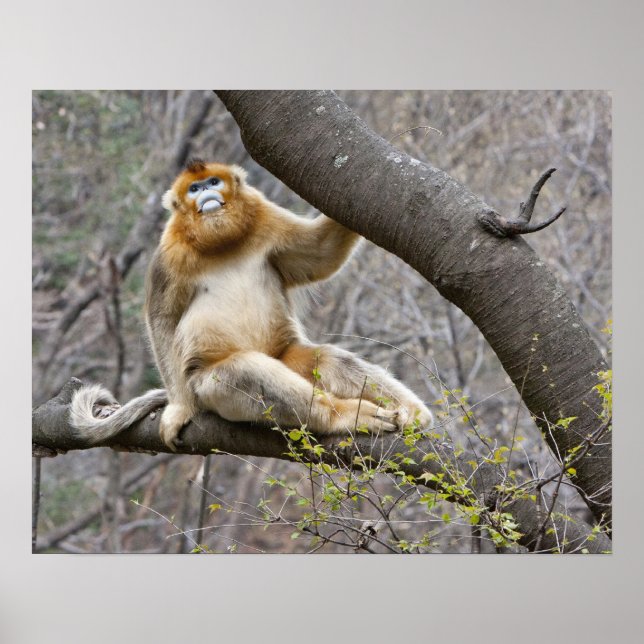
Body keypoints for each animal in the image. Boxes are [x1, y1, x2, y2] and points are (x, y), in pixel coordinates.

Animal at [70, 159, 432, 450]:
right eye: (194, 188)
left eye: (213, 182)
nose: (206, 193)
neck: (221, 241)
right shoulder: (168, 253)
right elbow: (162, 320)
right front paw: (179, 409)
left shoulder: (265, 215)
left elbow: (321, 252)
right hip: (205, 389)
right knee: (244, 371)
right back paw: (343, 416)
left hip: (285, 354)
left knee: (328, 360)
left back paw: (412, 411)